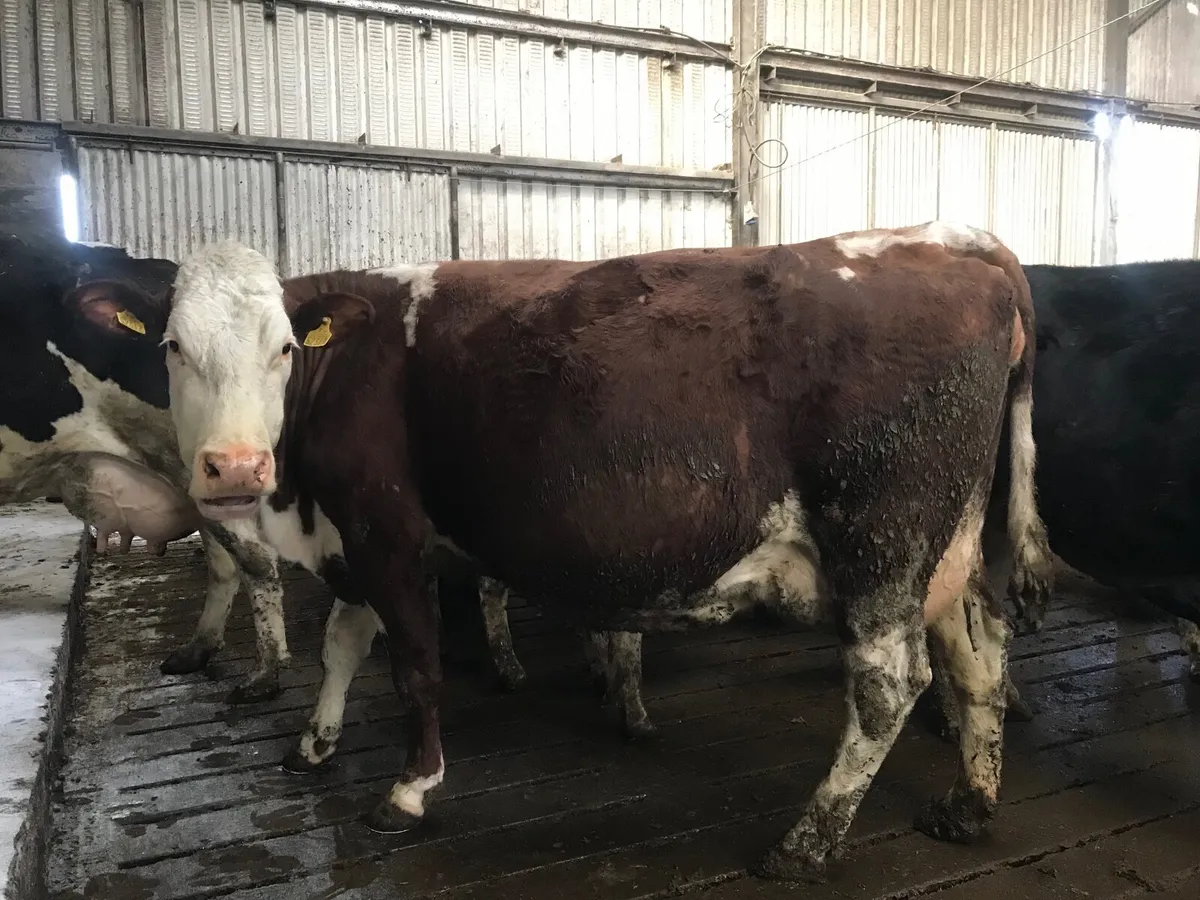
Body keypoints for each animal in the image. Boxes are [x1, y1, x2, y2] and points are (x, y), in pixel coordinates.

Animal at [158, 221, 1053, 881]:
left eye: (282, 347)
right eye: (172, 346)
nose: (235, 465)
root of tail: (949, 240)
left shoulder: (387, 534)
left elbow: (413, 668)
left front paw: (409, 791)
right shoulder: (352, 537)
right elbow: (343, 646)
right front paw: (314, 744)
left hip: (882, 544)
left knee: (886, 685)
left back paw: (804, 844)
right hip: (946, 550)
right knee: (980, 657)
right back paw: (969, 804)